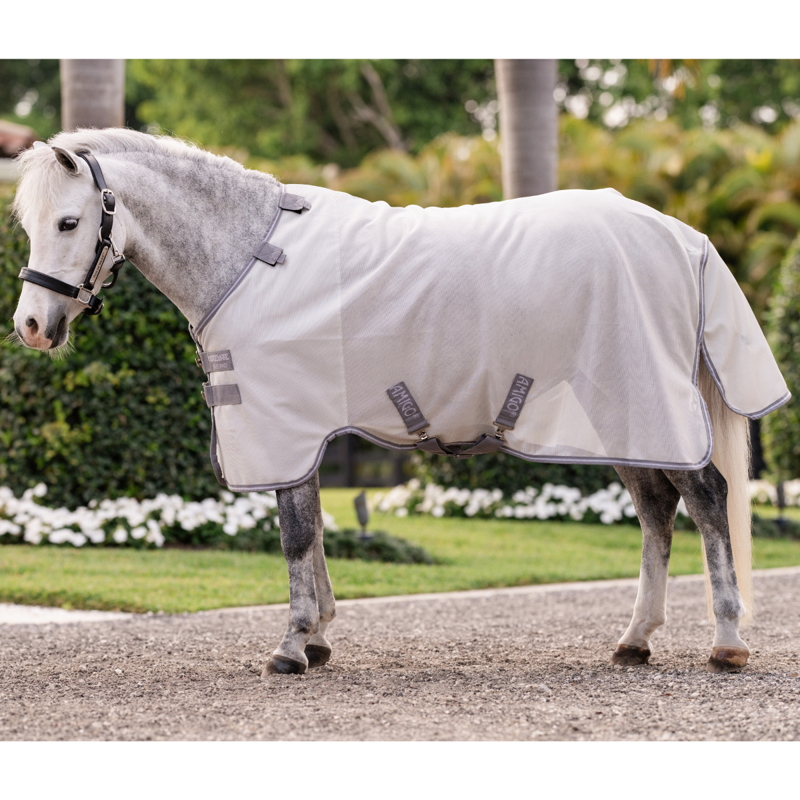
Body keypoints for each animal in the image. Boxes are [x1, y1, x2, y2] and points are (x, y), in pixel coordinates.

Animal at [10, 128, 789, 676]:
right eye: (26, 224)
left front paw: (292, 645)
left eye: (70, 222)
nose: (31, 327)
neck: (250, 257)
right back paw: (634, 640)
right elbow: (315, 533)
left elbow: (295, 535)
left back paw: (726, 640)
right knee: (658, 512)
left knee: (708, 499)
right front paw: (319, 637)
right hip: (624, 417)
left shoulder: (285, 427)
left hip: (647, 404)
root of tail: (684, 237)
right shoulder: (306, 432)